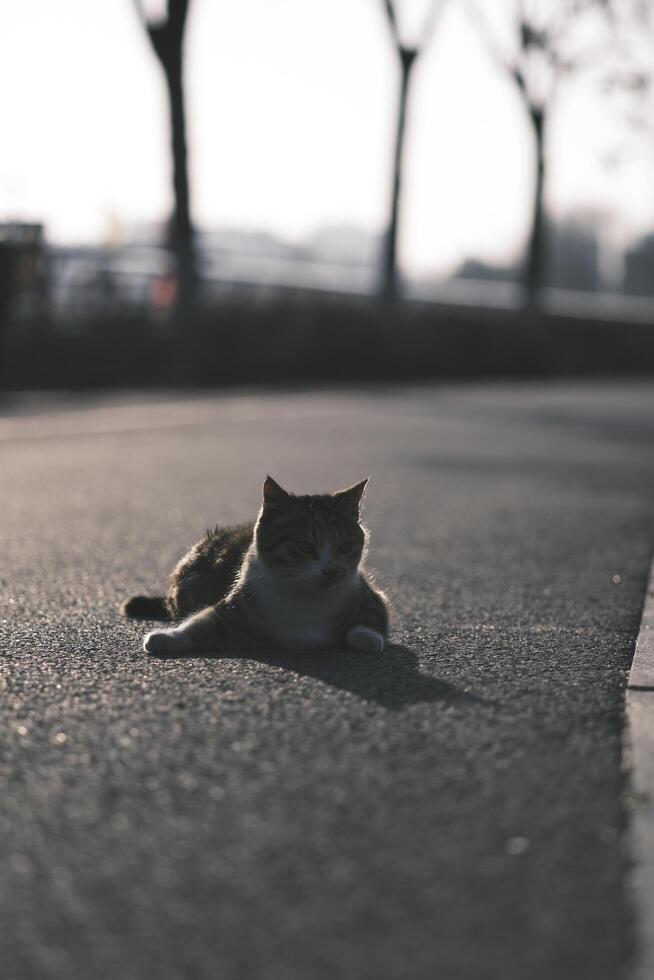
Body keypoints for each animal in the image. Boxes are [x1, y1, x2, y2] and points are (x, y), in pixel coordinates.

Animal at [122, 476, 390, 656]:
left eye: (345, 547)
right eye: (304, 546)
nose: (331, 571)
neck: (305, 597)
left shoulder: (370, 596)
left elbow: (370, 620)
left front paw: (367, 638)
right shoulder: (234, 609)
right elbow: (200, 623)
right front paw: (164, 638)